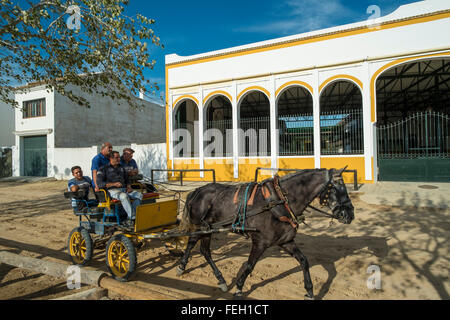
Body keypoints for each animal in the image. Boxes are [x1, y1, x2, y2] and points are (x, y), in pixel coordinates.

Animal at [177, 168, 356, 300]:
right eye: (338, 187)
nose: (350, 214)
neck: (279, 202)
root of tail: (196, 191)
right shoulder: (260, 242)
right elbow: (249, 266)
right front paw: (239, 289)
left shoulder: (286, 241)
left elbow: (304, 261)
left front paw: (310, 291)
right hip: (202, 228)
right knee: (196, 245)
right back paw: (184, 267)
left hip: (207, 229)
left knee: (202, 249)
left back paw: (212, 276)